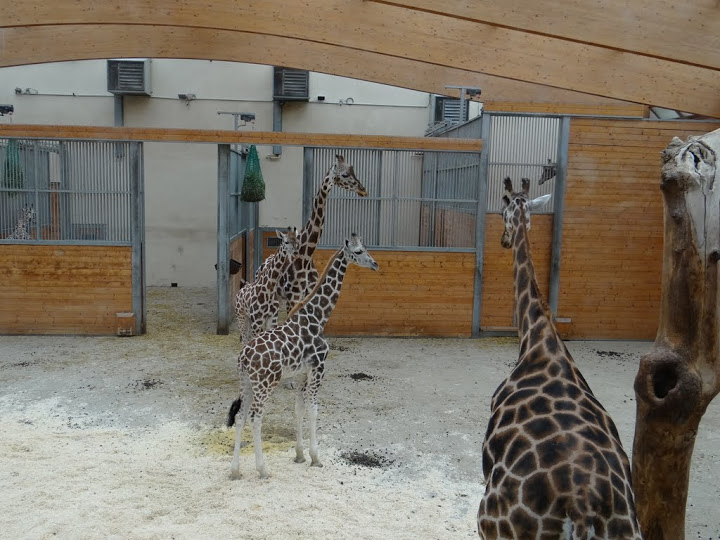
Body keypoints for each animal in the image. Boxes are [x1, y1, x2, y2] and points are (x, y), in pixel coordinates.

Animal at [226, 233, 379, 479]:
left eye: (365, 248)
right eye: (358, 252)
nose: (375, 264)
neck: (318, 317)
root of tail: (244, 357)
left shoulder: (301, 372)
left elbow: (298, 408)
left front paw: (299, 455)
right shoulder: (319, 367)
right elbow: (313, 410)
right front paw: (315, 457)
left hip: (246, 383)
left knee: (240, 416)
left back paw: (235, 470)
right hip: (265, 384)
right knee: (255, 418)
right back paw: (262, 469)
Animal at [477, 177, 642, 539]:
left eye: (501, 212)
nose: (504, 240)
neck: (538, 336)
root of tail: (583, 509)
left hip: (493, 524)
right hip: (632, 528)